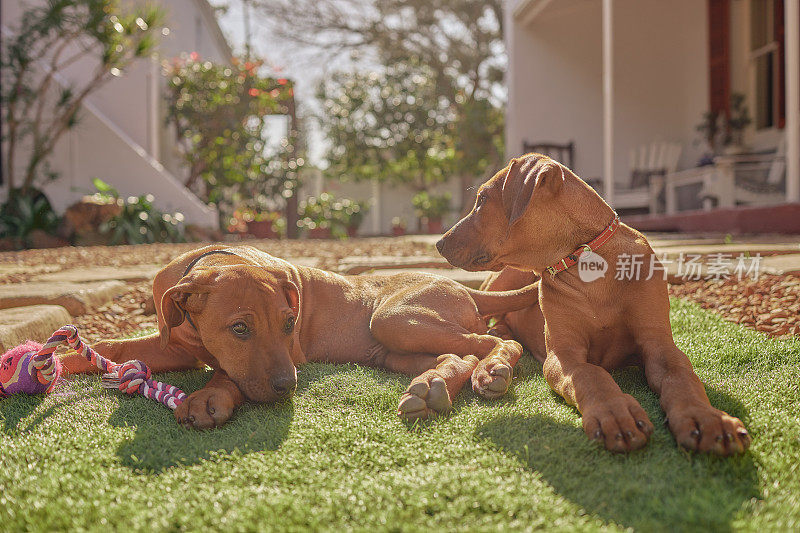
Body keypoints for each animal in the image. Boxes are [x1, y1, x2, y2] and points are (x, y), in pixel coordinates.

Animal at [62, 245, 532, 428]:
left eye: (290, 324)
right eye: (240, 328)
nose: (289, 387)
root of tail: (464, 285)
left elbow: (228, 372)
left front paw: (210, 396)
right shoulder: (174, 345)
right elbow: (108, 347)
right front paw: (57, 360)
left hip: (394, 317)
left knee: (499, 343)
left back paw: (493, 370)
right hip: (391, 348)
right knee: (456, 356)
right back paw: (430, 388)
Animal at [438, 153, 752, 454]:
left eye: (482, 199)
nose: (440, 243)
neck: (585, 262)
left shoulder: (659, 344)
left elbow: (681, 376)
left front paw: (706, 418)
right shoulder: (564, 355)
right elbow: (591, 373)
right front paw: (614, 412)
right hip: (504, 278)